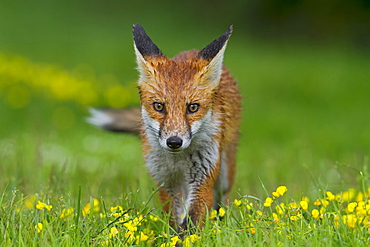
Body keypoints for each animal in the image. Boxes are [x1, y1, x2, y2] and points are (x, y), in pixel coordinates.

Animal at [88, 24, 241, 231]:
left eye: (193, 107)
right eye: (159, 106)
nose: (174, 142)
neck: (178, 161)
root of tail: (191, 50)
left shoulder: (202, 179)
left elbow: (192, 220)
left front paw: (187, 236)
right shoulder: (165, 181)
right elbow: (174, 218)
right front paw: (172, 234)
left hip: (224, 173)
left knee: (222, 199)